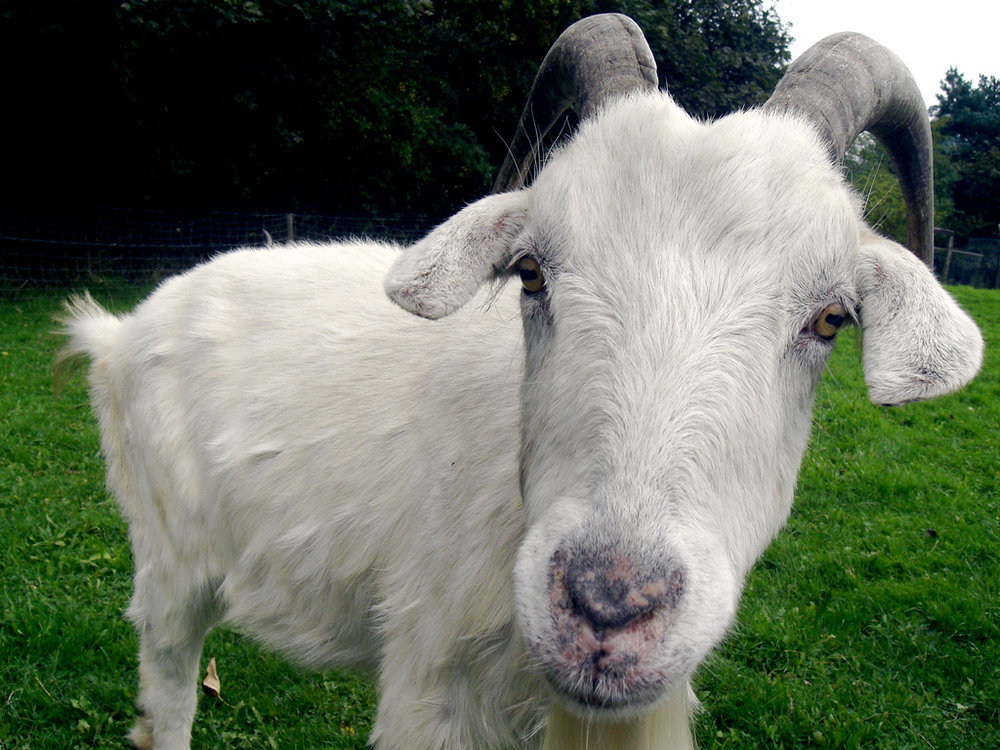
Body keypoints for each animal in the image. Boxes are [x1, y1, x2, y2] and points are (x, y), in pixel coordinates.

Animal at [58, 14, 983, 750]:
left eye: (830, 319)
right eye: (532, 273)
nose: (607, 611)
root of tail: (124, 330)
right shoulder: (428, 686)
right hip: (168, 560)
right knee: (168, 698)